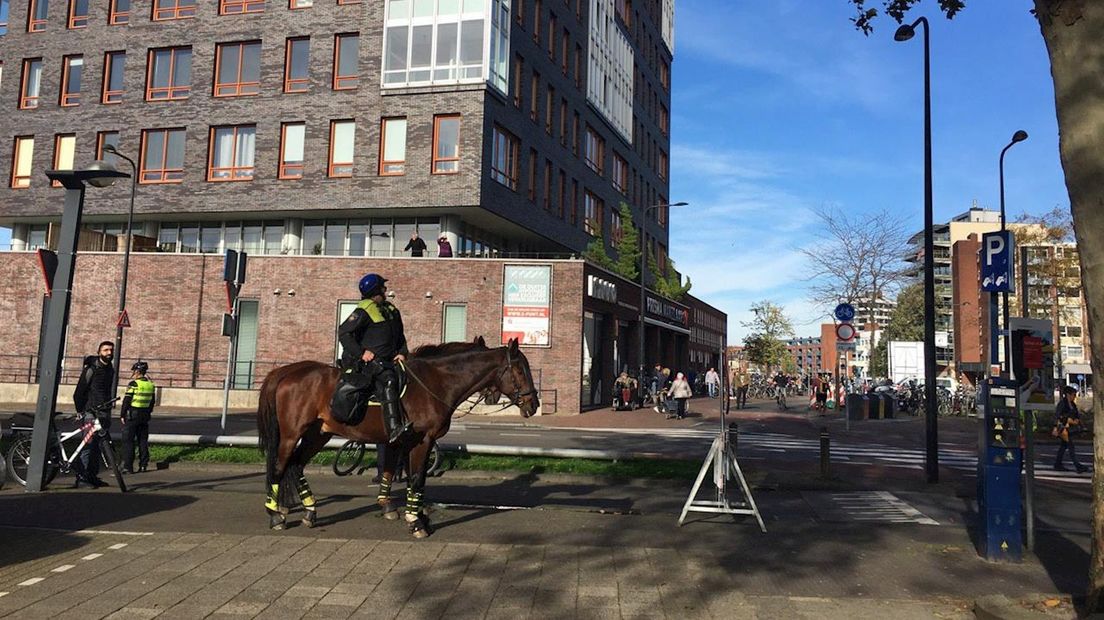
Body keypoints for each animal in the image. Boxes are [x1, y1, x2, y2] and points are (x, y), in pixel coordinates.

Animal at [255, 335, 538, 533]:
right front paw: (416, 521)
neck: (434, 383)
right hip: (291, 434)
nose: (533, 404)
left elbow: (413, 479)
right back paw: (276, 515)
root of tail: (286, 372)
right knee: (279, 467)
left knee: (296, 464)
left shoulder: (414, 443)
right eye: (520, 370)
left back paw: (309, 511)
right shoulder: (421, 440)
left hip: (318, 433)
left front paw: (417, 515)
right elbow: (415, 478)